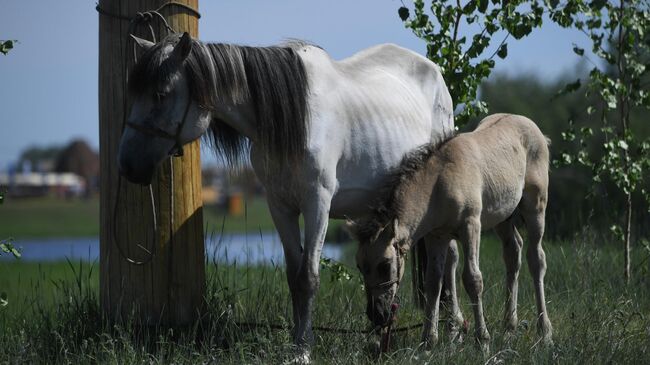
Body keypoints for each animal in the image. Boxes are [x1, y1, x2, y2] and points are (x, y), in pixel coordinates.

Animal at [115, 32, 456, 358]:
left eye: (160, 94)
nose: (127, 165)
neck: (297, 119)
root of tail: (437, 73)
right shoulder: (280, 206)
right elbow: (294, 277)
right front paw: (296, 342)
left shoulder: (317, 204)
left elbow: (308, 277)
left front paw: (303, 350)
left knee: (443, 263)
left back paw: (443, 335)